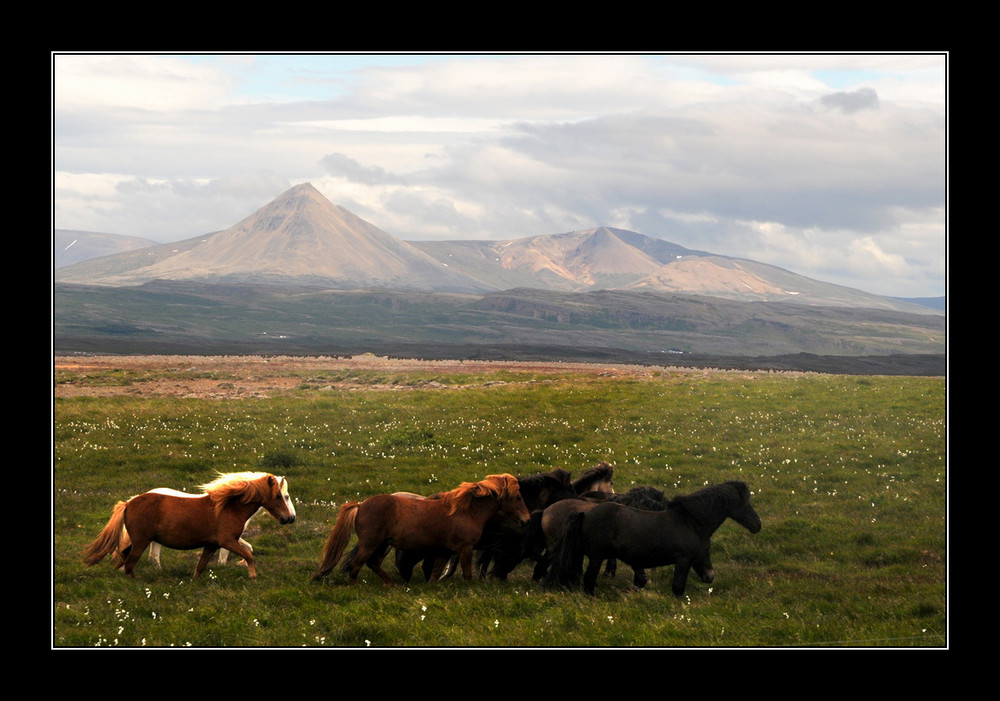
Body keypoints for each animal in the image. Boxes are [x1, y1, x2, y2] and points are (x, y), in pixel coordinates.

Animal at [82, 470, 294, 580]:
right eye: (281, 496)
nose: (290, 518)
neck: (229, 507)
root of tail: (128, 503)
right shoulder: (227, 541)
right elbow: (248, 555)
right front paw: (253, 576)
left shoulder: (212, 544)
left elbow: (200, 567)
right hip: (141, 542)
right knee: (130, 564)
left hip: (136, 543)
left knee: (125, 560)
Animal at [312, 470, 532, 584]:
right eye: (518, 497)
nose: (527, 519)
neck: (466, 512)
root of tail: (360, 505)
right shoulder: (465, 549)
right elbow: (467, 573)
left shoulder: (444, 551)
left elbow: (434, 574)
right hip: (370, 544)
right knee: (356, 565)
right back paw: (355, 586)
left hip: (382, 545)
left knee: (372, 564)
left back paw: (393, 585)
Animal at [548, 482, 756, 596]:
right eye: (746, 503)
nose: (757, 524)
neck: (689, 521)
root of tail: (583, 513)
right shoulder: (683, 559)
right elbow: (677, 588)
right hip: (597, 557)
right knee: (589, 580)